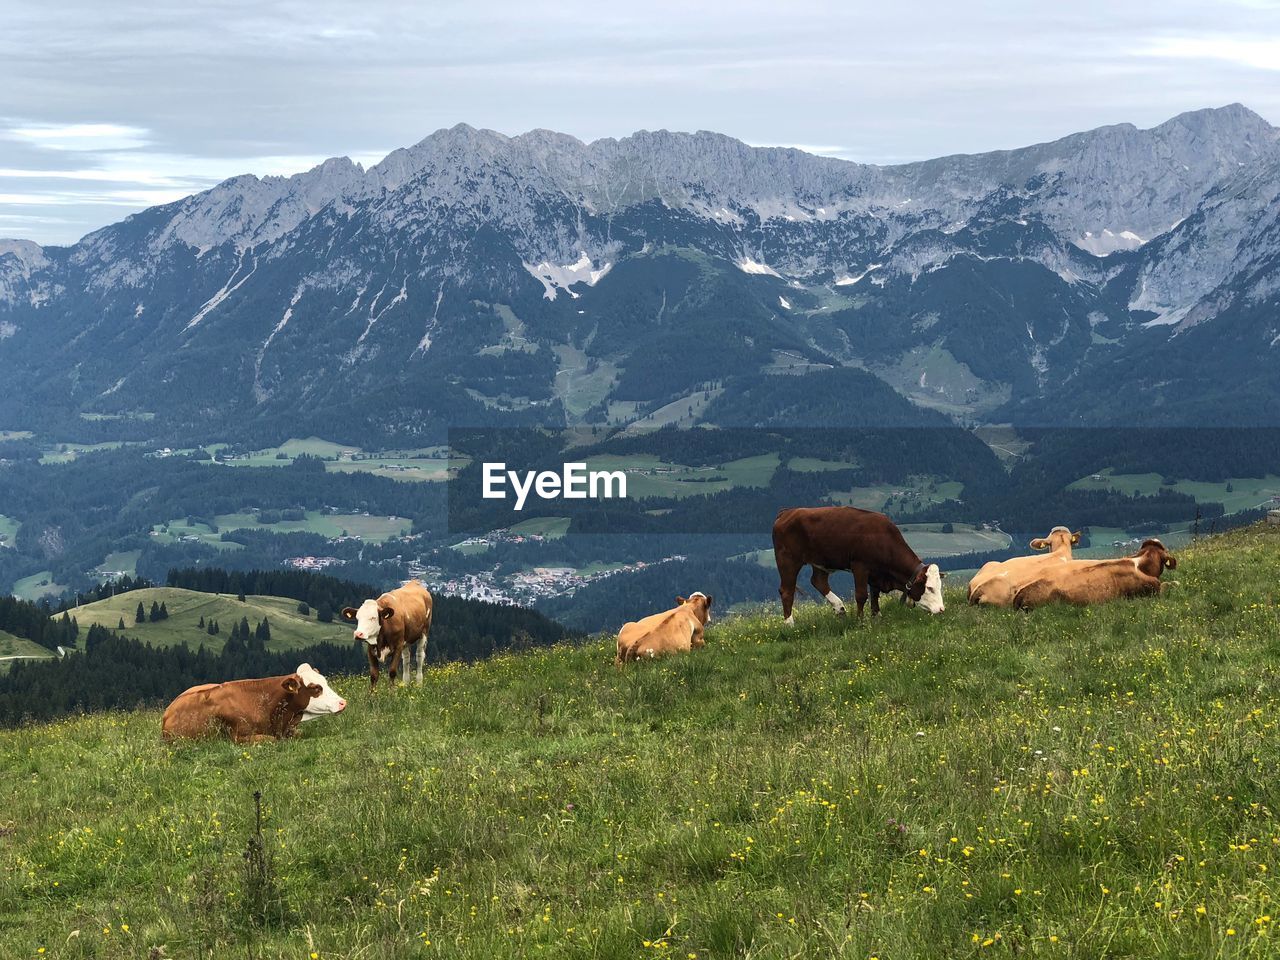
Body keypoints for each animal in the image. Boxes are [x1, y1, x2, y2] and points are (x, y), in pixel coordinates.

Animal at [768, 506, 942, 627]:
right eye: (929, 588)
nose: (941, 609)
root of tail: (788, 512)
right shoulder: (860, 566)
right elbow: (861, 595)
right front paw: (860, 621)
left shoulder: (876, 573)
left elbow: (875, 595)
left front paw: (877, 617)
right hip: (788, 560)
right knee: (787, 591)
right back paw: (790, 624)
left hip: (821, 561)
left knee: (818, 581)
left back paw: (839, 608)